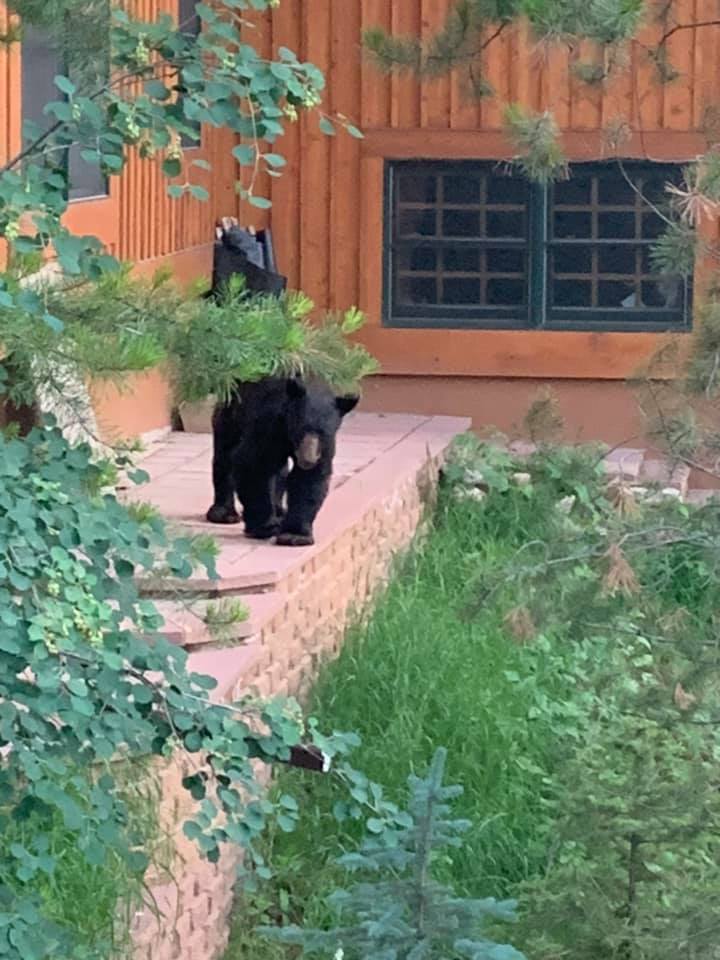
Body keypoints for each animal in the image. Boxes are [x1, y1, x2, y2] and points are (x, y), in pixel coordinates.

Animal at [206, 377, 359, 547]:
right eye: (301, 429)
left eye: (323, 433)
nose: (308, 460)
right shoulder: (270, 423)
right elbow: (253, 463)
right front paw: (265, 526)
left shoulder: (325, 446)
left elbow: (309, 479)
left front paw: (295, 535)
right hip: (232, 409)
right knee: (225, 452)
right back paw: (224, 513)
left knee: (279, 471)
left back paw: (279, 511)